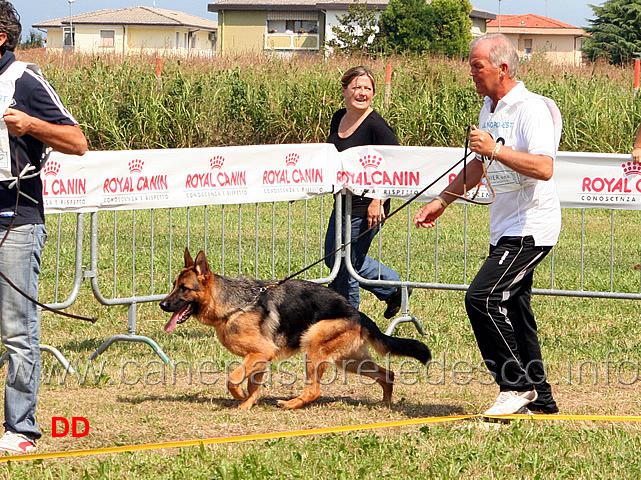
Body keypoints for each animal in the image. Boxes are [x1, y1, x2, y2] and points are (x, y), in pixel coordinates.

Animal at [159, 249, 430, 410]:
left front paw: (238, 396)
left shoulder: (259, 353)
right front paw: (247, 404)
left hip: (313, 345)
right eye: (174, 285)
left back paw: (291, 404)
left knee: (314, 390)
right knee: (388, 374)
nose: (162, 304)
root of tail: (357, 314)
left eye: (184, 288)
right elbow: (253, 386)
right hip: (348, 360)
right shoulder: (260, 358)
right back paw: (386, 403)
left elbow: (233, 379)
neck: (234, 305)